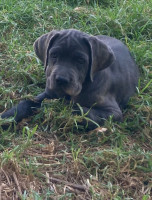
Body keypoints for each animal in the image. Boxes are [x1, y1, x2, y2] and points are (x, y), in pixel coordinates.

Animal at [0, 29, 139, 130]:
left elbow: (82, 111)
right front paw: (6, 117)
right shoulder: (49, 93)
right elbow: (26, 103)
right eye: (54, 55)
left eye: (80, 60)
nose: (61, 80)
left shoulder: (113, 112)